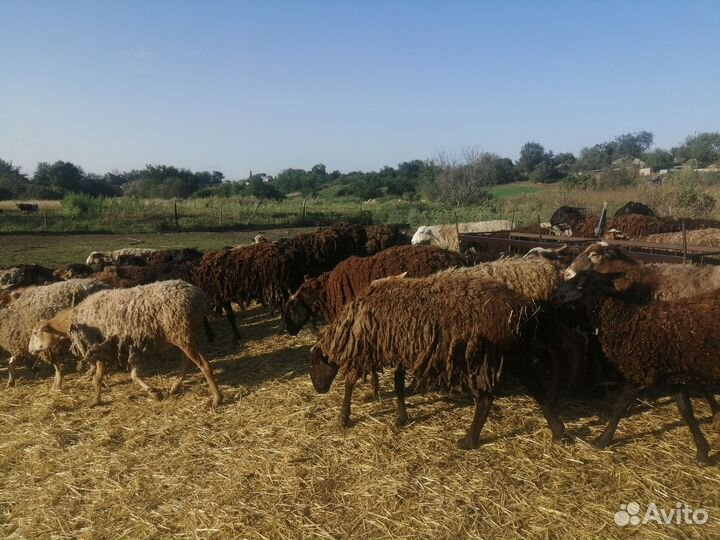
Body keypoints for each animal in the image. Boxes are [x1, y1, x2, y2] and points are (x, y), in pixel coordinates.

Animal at [28, 280, 223, 408]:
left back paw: (216, 399)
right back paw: (174, 388)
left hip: (182, 334)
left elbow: (97, 378)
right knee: (186, 362)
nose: (30, 350)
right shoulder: (131, 346)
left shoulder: (99, 348)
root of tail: (200, 297)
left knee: (204, 365)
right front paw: (154, 393)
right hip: (183, 335)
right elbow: (134, 375)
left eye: (36, 332)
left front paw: (95, 401)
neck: (74, 319)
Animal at [309, 273, 568, 449]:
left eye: (313, 365)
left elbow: (351, 382)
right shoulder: (401, 348)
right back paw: (559, 432)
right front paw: (402, 417)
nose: (318, 390)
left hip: (481, 357)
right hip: (510, 352)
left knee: (486, 399)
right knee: (536, 388)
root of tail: (517, 309)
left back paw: (468, 441)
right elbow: (398, 383)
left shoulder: (365, 349)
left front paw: (344, 417)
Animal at [553, 271, 720, 466]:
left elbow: (619, 407)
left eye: (580, 284)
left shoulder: (639, 373)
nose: (555, 295)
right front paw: (702, 452)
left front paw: (602, 441)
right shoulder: (674, 376)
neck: (628, 323)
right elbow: (686, 412)